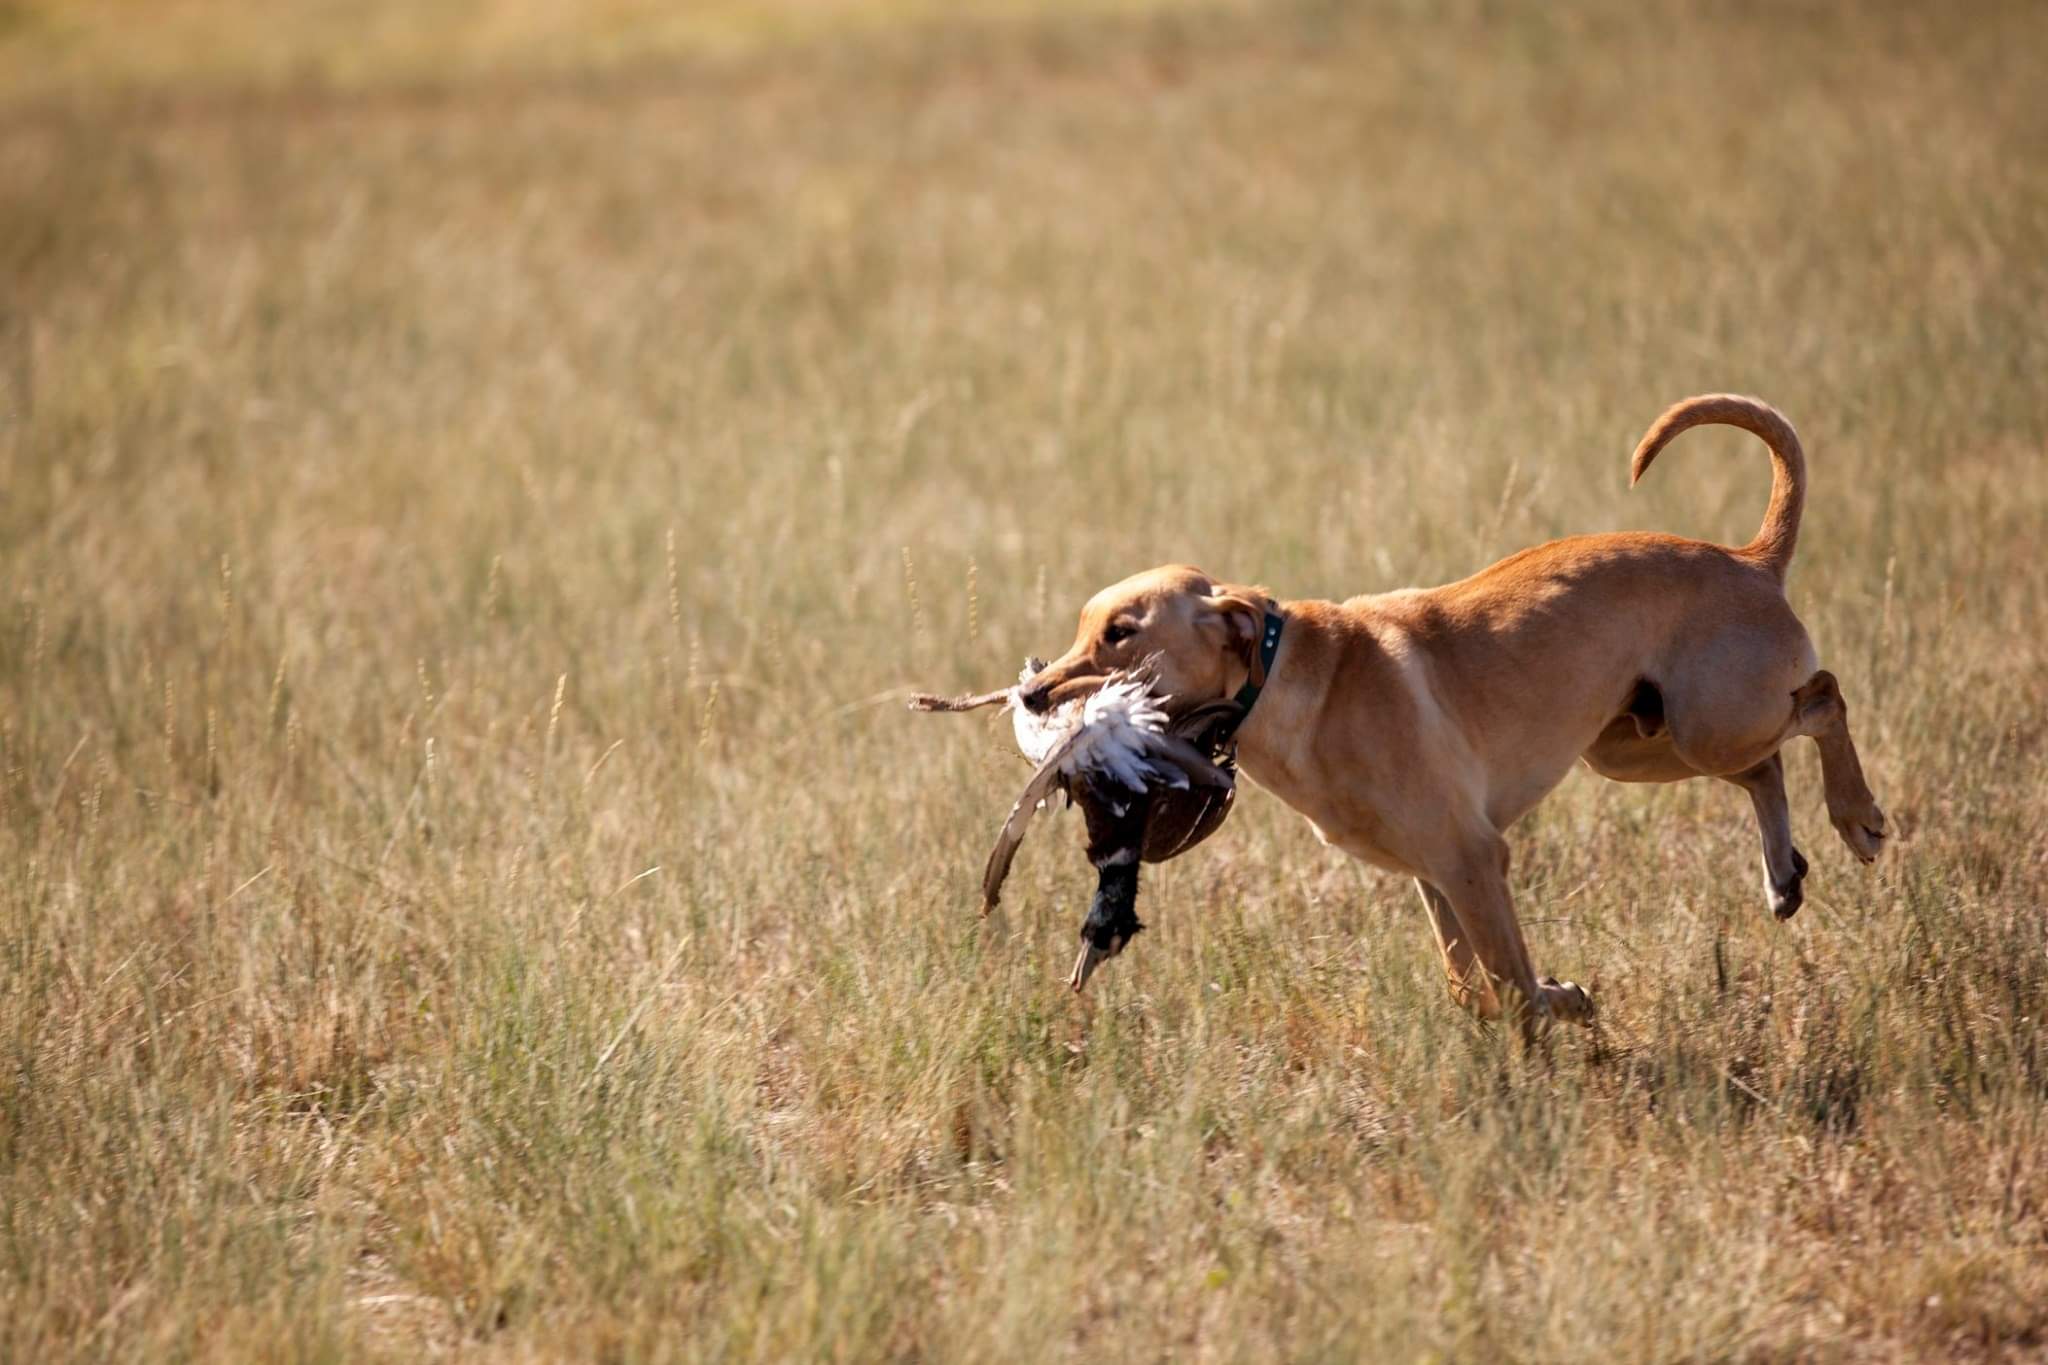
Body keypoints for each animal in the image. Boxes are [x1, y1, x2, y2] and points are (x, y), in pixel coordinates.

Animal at [1024, 394, 1884, 1035]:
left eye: (1121, 632)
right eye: (1082, 627)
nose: (1031, 695)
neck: (1291, 680)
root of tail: (1750, 559)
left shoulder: (1472, 858)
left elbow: (1513, 986)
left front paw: (1553, 1038)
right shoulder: (1436, 875)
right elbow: (1475, 986)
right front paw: (1547, 1007)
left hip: (1708, 722)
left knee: (1824, 697)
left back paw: (1858, 817)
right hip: (1639, 744)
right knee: (1767, 764)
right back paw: (1783, 875)